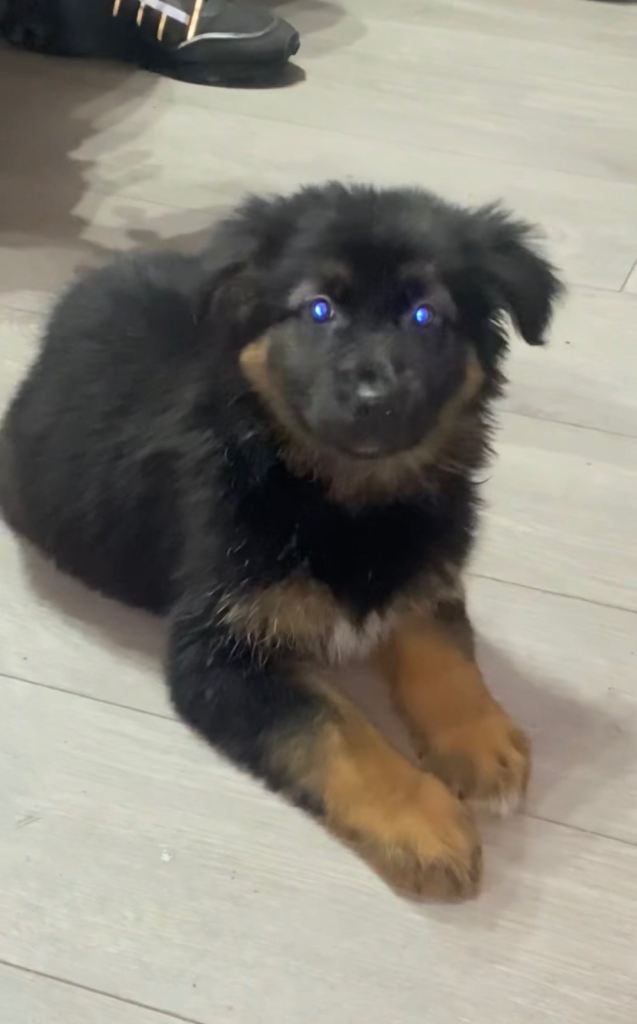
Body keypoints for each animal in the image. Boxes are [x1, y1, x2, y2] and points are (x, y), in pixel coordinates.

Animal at [0, 183, 562, 899]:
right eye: (318, 309)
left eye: (426, 316)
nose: (375, 396)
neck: (339, 496)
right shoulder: (220, 651)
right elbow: (335, 730)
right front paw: (425, 822)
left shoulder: (421, 567)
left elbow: (441, 644)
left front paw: (478, 739)